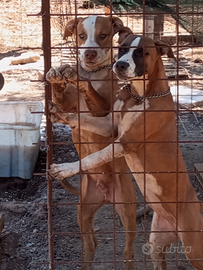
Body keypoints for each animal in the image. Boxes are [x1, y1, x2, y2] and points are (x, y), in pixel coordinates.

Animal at [48, 33, 203, 270]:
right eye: (121, 48)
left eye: (141, 53)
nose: (120, 65)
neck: (138, 96)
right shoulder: (109, 126)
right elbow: (83, 119)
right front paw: (62, 114)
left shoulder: (126, 142)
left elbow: (93, 157)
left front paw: (65, 169)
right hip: (157, 242)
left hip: (194, 248)